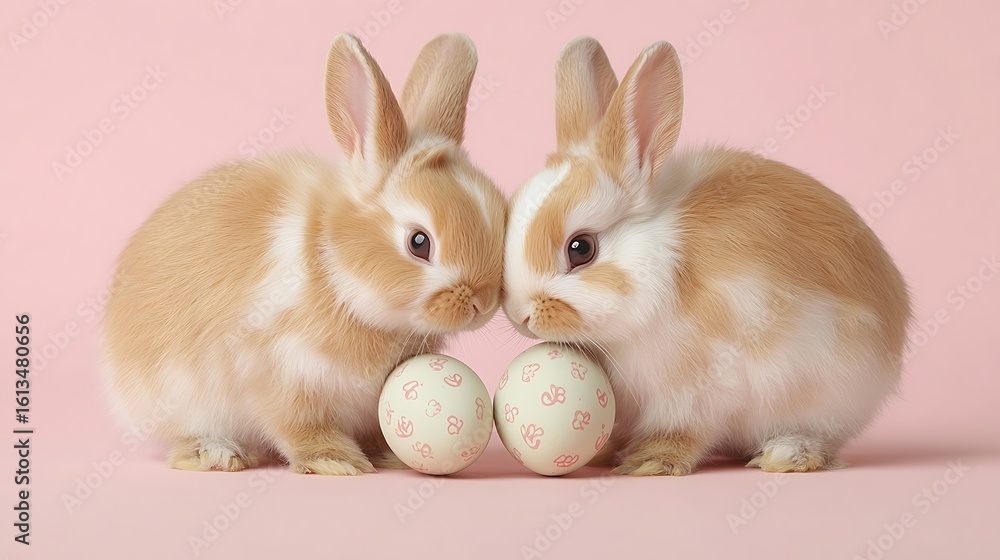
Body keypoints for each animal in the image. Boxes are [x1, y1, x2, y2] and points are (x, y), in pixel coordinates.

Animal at [102, 33, 507, 475]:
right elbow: (299, 428)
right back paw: (217, 453)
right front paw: (337, 462)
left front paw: (386, 455)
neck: (333, 269)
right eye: (420, 242)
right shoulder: (278, 372)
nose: (483, 303)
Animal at [502, 37, 911, 475]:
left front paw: (648, 461)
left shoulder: (698, 388)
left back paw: (787, 454)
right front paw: (612, 450)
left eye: (581, 249)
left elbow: (684, 432)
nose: (521, 316)